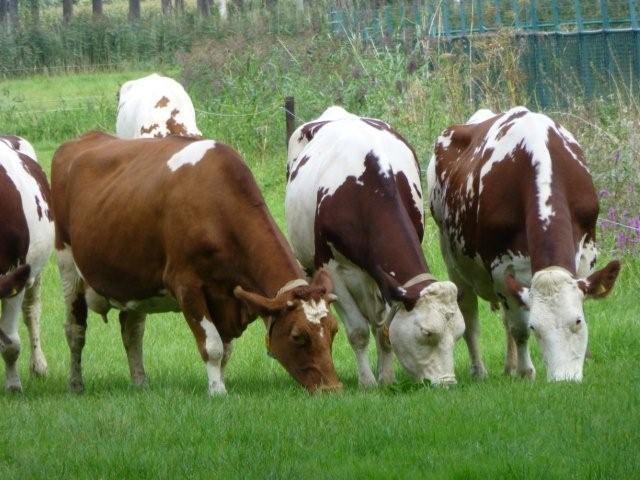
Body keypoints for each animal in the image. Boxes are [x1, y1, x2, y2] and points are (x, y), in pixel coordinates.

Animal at [51, 132, 342, 395]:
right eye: (297, 335)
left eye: (334, 329)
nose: (332, 388)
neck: (217, 208)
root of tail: (85, 138)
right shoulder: (186, 285)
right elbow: (212, 345)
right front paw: (217, 391)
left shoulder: (227, 297)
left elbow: (225, 349)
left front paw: (219, 381)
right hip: (68, 265)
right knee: (75, 330)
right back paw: (75, 384)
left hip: (132, 279)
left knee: (132, 329)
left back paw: (140, 381)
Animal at [285, 106, 465, 387]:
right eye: (426, 333)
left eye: (458, 334)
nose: (447, 383)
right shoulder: (332, 269)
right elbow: (358, 331)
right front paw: (367, 383)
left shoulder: (387, 280)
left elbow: (385, 331)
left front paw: (387, 379)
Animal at [428, 106, 620, 382]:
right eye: (536, 328)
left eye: (577, 322)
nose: (564, 380)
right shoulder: (501, 268)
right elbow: (518, 328)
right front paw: (526, 372)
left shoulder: (586, 256)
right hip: (453, 260)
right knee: (470, 317)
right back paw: (480, 371)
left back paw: (508, 367)